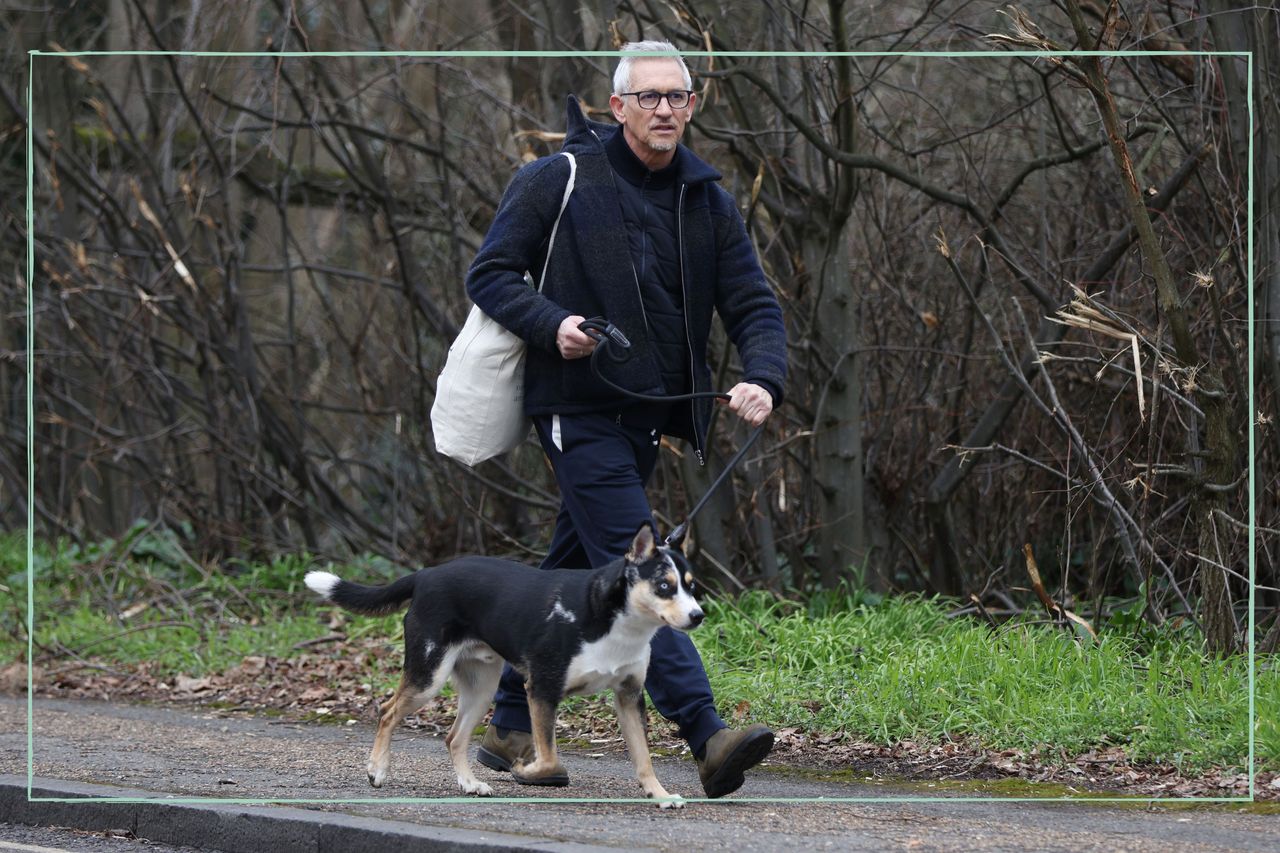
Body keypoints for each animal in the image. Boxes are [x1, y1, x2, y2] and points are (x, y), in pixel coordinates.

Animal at [302, 522, 701, 809]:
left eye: (691, 586)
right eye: (664, 586)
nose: (698, 616)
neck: (614, 620)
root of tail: (426, 574)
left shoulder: (629, 696)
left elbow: (644, 757)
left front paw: (659, 795)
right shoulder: (541, 689)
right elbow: (549, 756)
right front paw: (527, 769)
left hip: (481, 688)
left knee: (453, 737)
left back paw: (469, 783)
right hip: (428, 676)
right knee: (387, 711)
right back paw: (378, 770)